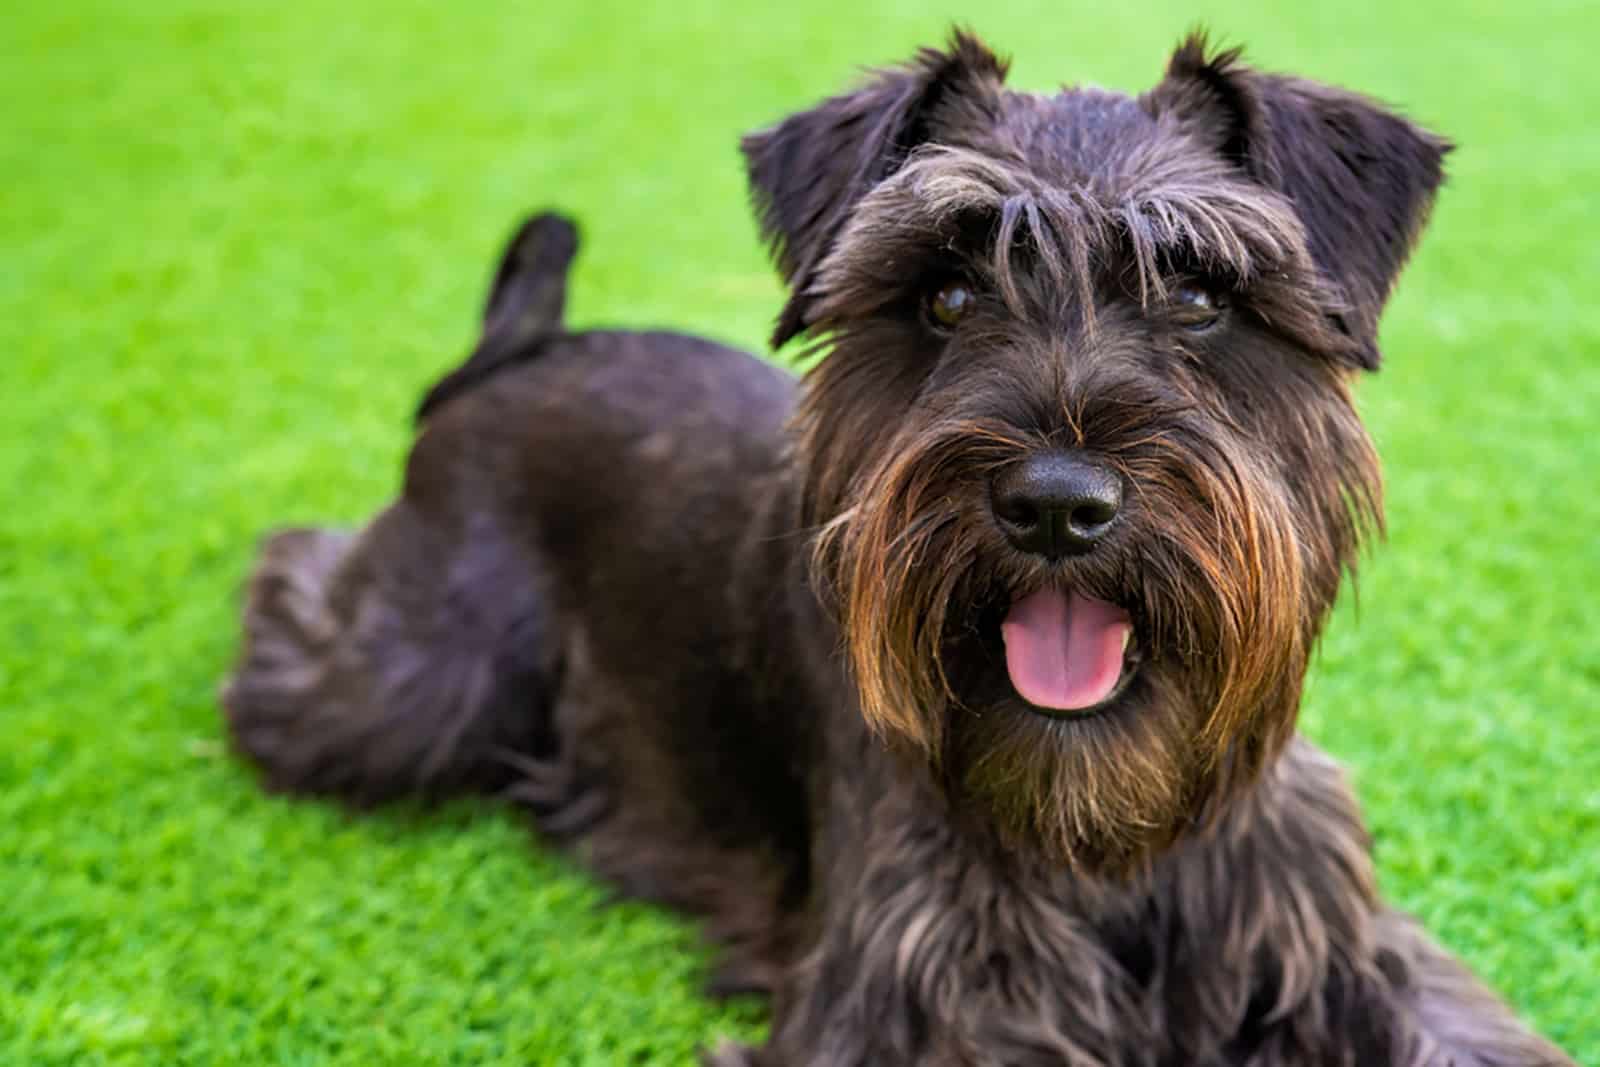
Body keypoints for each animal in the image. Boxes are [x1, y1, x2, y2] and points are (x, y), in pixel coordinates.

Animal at [222, 33, 1574, 1067]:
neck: (1108, 833)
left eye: (1199, 293)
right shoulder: (926, 1000)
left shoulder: (1344, 950)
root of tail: (520, 351)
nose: (1055, 503)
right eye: (946, 293)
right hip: (410, 687)